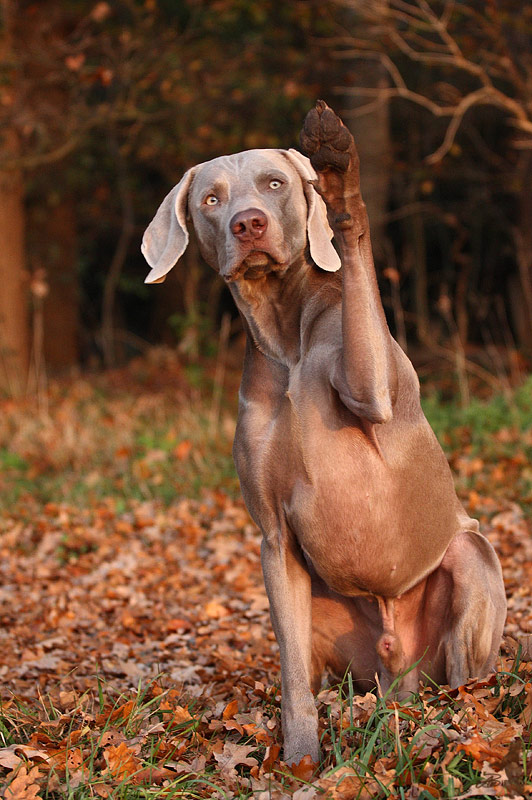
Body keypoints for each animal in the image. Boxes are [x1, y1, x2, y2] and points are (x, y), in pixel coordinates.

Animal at [142, 103, 508, 764]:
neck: (287, 334)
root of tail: (400, 671)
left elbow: (354, 250)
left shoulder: (377, 387)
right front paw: (299, 759)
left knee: (467, 679)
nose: (248, 225)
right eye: (211, 199)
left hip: (470, 564)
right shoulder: (274, 540)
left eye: (274, 184)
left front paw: (338, 171)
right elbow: (291, 676)